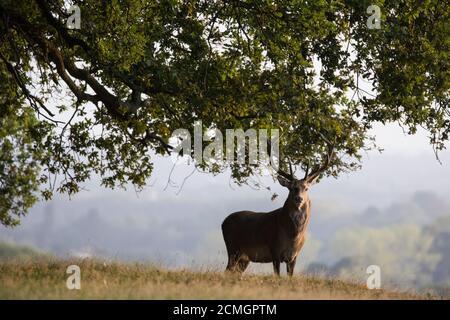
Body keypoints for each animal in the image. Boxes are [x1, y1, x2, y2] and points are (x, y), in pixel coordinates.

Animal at [221, 145, 334, 276]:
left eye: (306, 188)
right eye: (292, 188)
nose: (299, 198)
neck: (293, 236)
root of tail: (223, 222)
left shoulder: (294, 256)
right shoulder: (274, 250)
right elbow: (278, 275)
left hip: (244, 258)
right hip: (232, 248)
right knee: (226, 271)